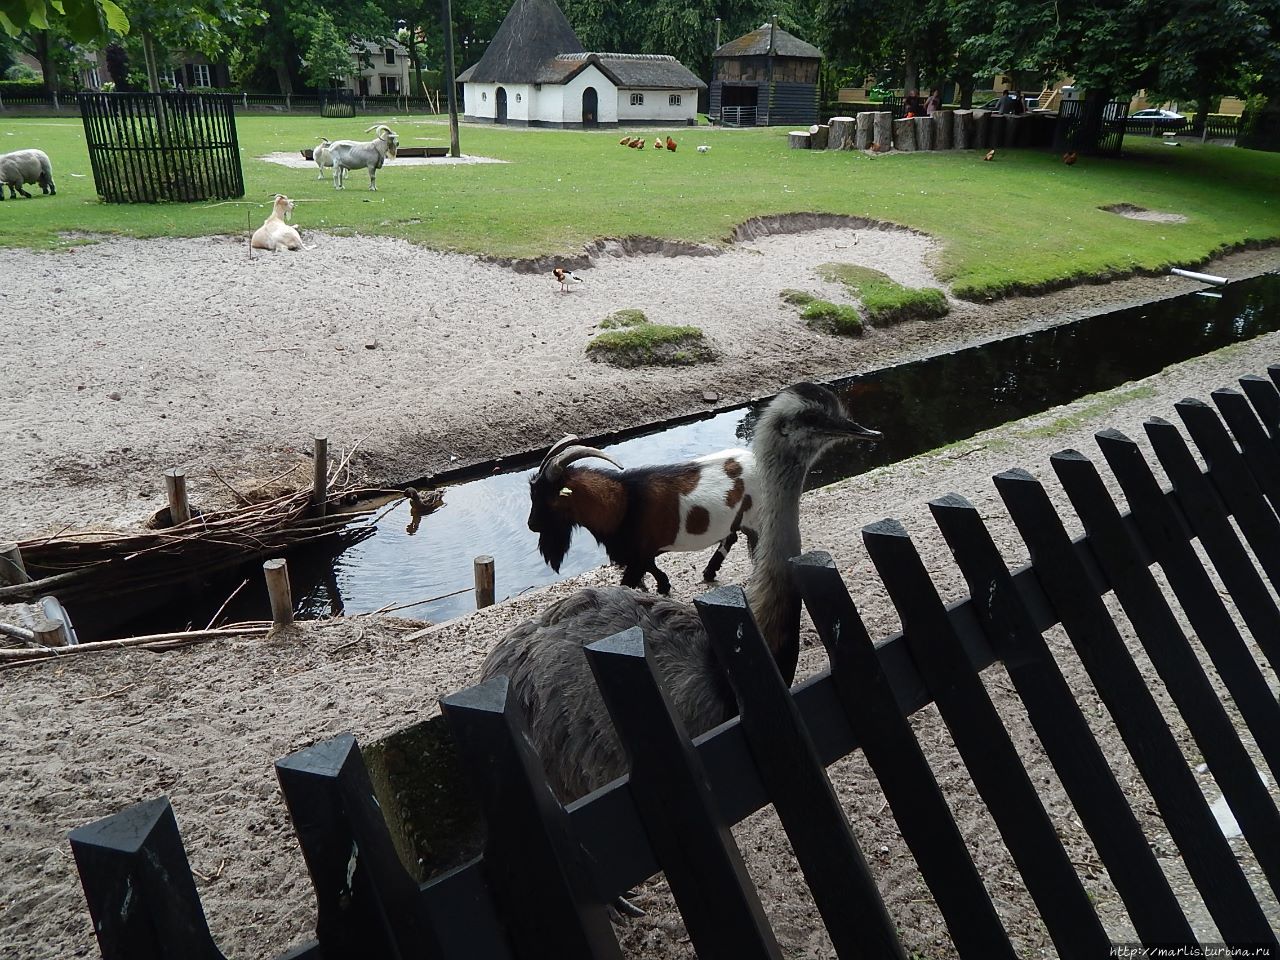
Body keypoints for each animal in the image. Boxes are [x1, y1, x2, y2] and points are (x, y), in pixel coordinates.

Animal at [524, 437, 752, 593]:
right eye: (532, 494)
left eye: (548, 498)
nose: (532, 525)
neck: (623, 504)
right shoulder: (640, 554)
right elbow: (653, 568)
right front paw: (663, 586)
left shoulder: (637, 557)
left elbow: (628, 581)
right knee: (731, 536)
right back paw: (709, 572)